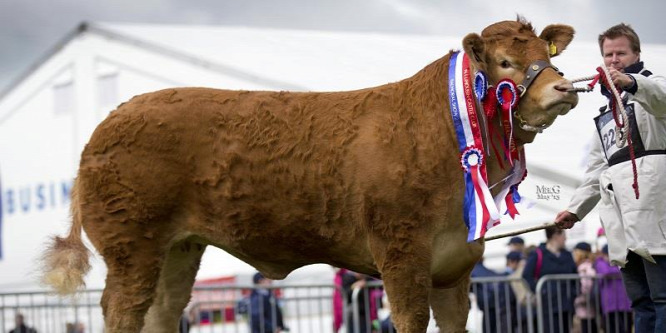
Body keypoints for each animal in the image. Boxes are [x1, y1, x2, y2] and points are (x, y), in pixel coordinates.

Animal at [42, 18, 576, 332]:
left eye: (547, 56)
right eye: (505, 62)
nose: (565, 87)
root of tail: (113, 119)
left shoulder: (457, 263)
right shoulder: (401, 250)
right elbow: (409, 318)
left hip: (178, 248)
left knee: (162, 310)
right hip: (132, 246)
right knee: (122, 309)